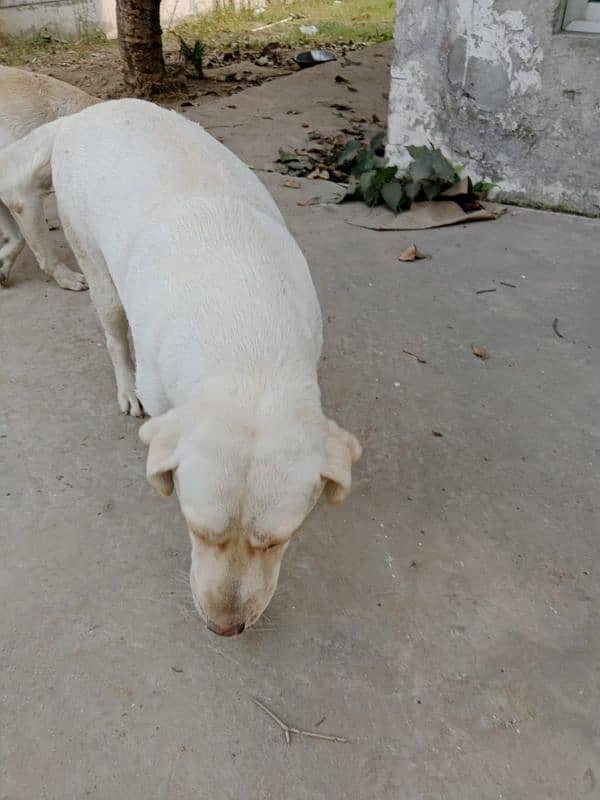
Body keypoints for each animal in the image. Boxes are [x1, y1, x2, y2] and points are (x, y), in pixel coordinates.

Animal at [0, 100, 360, 636]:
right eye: (196, 529)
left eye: (278, 540)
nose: (225, 629)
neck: (245, 346)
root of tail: (85, 113)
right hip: (93, 260)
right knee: (113, 329)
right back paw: (123, 386)